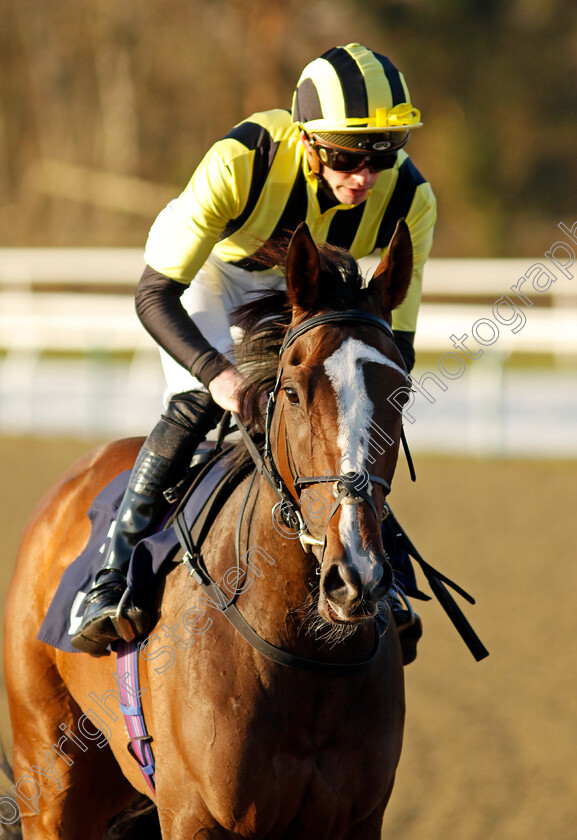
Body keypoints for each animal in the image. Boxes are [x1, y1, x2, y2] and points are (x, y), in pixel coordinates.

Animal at [3, 220, 410, 836]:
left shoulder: (359, 818)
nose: (356, 575)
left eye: (402, 393)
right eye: (293, 392)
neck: (310, 657)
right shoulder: (194, 813)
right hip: (51, 775)